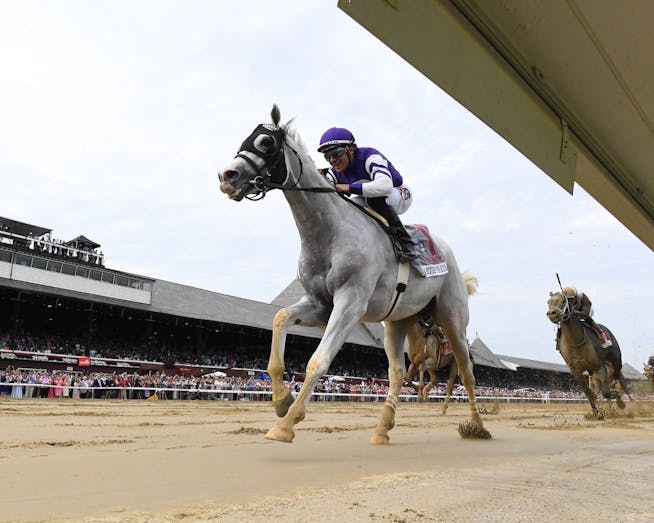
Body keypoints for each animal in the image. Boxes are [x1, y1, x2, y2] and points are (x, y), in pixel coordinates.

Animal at [218, 104, 490, 444]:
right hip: (398, 320)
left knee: (466, 372)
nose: (226, 176)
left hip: (452, 316)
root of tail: (449, 255)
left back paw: (476, 426)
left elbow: (318, 361)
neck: (330, 233)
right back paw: (382, 429)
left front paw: (287, 423)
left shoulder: (350, 303)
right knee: (397, 372)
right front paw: (282, 400)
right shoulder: (320, 304)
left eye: (266, 142)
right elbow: (280, 319)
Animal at [544, 290, 632, 418]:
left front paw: (618, 402)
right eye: (548, 302)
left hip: (616, 360)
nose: (552, 314)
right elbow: (588, 393)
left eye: (563, 301)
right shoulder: (577, 371)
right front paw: (596, 413)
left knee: (618, 379)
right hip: (592, 372)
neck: (575, 341)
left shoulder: (599, 366)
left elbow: (606, 393)